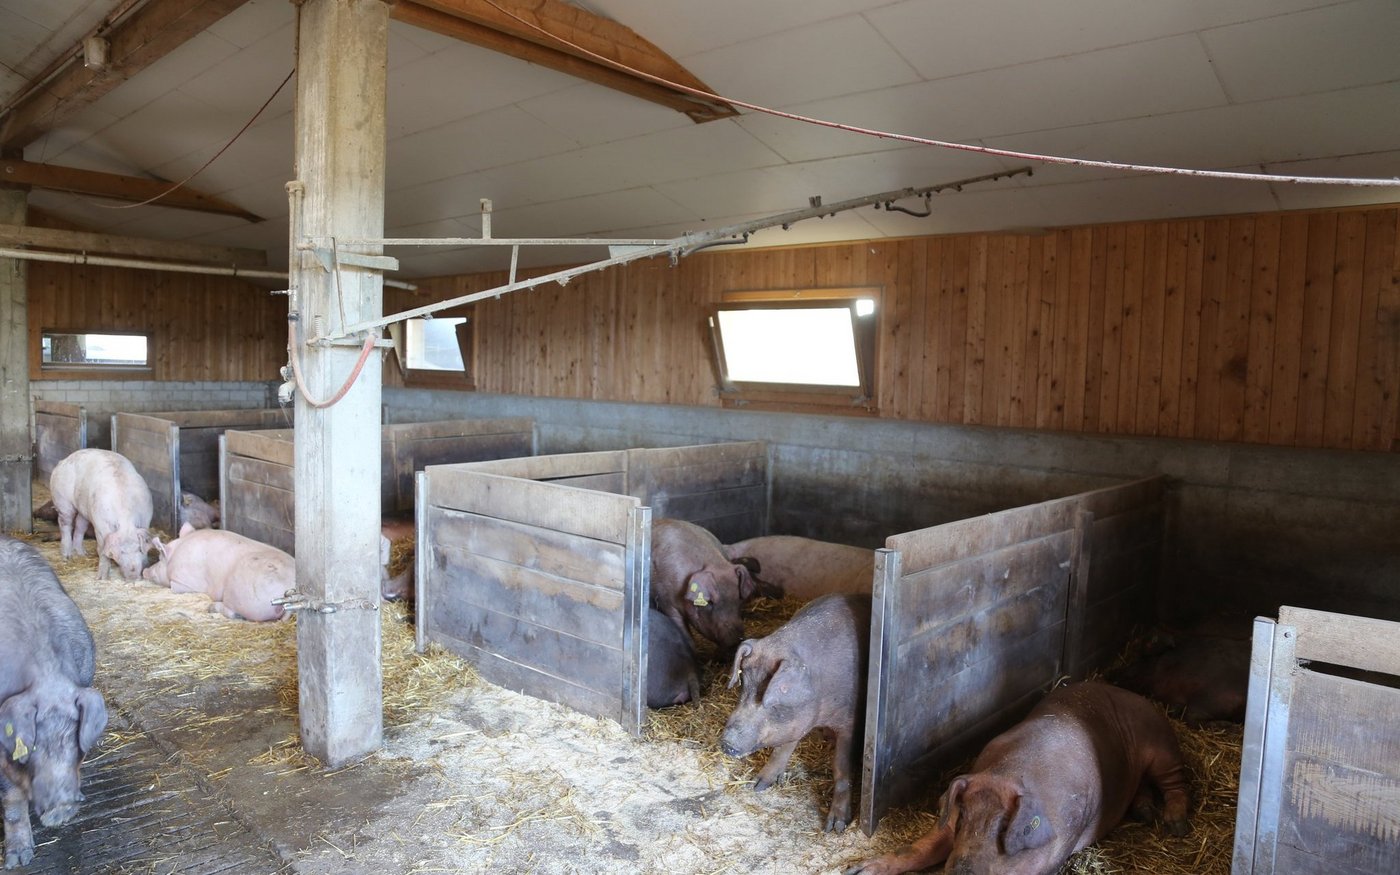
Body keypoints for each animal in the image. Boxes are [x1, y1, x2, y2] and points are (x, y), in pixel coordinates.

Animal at [0, 537, 109, 870]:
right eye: (32, 746)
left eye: (74, 741)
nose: (60, 806)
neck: (46, 678)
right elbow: (11, 799)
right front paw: (18, 861)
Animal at [49, 449, 154, 581]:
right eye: (121, 552)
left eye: (139, 549)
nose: (133, 576)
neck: (126, 519)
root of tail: (62, 461)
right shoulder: (100, 525)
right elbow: (102, 549)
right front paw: (102, 578)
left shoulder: (146, 519)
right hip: (63, 501)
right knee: (65, 524)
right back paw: (67, 556)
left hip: (85, 509)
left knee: (80, 525)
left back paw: (82, 554)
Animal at [143, 524, 291, 622]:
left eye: (160, 558)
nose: (144, 571)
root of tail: (288, 594)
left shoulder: (186, 582)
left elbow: (173, 588)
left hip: (242, 595)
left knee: (233, 612)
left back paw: (211, 608)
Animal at [720, 593, 871, 833]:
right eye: (743, 686)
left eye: (770, 701)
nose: (726, 743)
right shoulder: (796, 722)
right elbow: (782, 748)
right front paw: (757, 785)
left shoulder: (849, 720)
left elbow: (841, 767)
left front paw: (835, 827)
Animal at [843, 681, 1190, 875]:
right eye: (963, 817)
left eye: (1004, 828)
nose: (962, 871)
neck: (1007, 773)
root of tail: (1135, 695)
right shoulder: (949, 822)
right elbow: (920, 848)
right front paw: (857, 871)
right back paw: (1145, 813)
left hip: (1161, 745)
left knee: (1174, 782)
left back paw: (1177, 825)